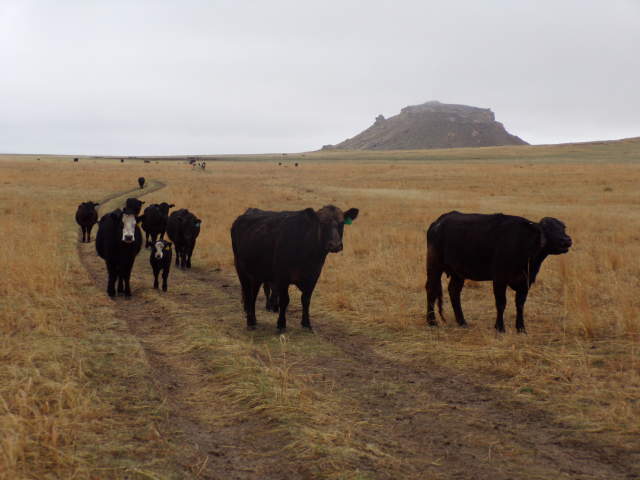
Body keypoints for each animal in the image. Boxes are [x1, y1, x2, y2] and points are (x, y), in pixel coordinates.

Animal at [231, 205, 359, 333]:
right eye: (322, 223)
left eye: (342, 223)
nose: (335, 245)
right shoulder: (282, 278)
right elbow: (284, 300)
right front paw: (281, 324)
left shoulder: (313, 277)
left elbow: (306, 300)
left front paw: (306, 324)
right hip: (242, 270)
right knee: (248, 294)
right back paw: (250, 322)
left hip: (257, 274)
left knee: (254, 295)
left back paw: (254, 319)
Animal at [425, 211, 572, 333]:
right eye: (547, 229)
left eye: (563, 228)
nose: (566, 240)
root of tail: (438, 223)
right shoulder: (500, 279)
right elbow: (501, 303)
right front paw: (500, 327)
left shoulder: (526, 282)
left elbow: (520, 304)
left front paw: (521, 328)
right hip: (434, 266)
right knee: (431, 289)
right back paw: (432, 321)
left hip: (458, 273)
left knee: (454, 291)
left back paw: (462, 322)